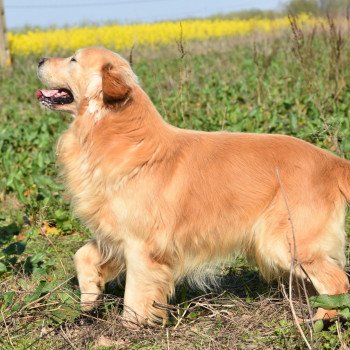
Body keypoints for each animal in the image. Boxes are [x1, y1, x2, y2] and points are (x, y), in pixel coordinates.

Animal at [37, 46, 348, 326]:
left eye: (73, 59)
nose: (39, 60)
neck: (118, 135)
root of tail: (333, 162)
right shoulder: (114, 233)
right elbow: (83, 255)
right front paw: (90, 300)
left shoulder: (142, 244)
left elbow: (135, 294)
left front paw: (131, 328)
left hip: (285, 241)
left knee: (337, 283)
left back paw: (318, 322)